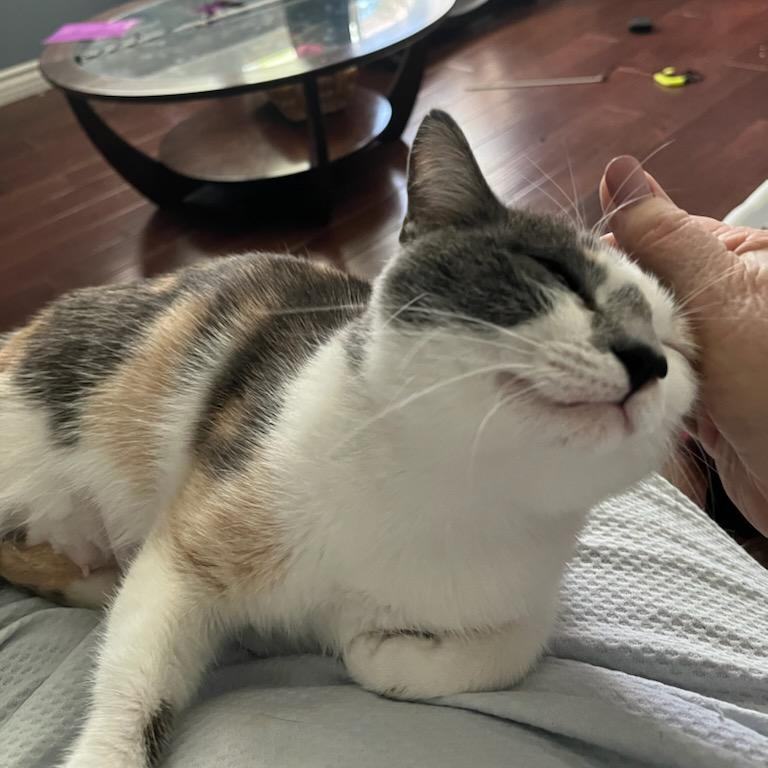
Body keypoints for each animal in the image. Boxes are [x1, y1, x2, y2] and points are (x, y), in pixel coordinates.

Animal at [0, 110, 696, 768]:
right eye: (555, 272)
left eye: (678, 353)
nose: (645, 360)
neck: (451, 490)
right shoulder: (199, 529)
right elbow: (137, 674)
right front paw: (108, 751)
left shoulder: (518, 588)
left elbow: (515, 647)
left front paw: (377, 652)